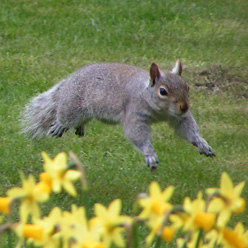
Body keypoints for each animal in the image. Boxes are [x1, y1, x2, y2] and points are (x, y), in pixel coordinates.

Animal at [21, 60, 215, 169]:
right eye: (163, 91)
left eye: (187, 87)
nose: (184, 107)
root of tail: (71, 80)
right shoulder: (134, 113)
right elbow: (136, 134)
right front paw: (150, 154)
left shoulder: (178, 118)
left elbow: (187, 129)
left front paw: (202, 143)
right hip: (74, 104)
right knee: (66, 115)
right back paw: (60, 125)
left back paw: (80, 128)